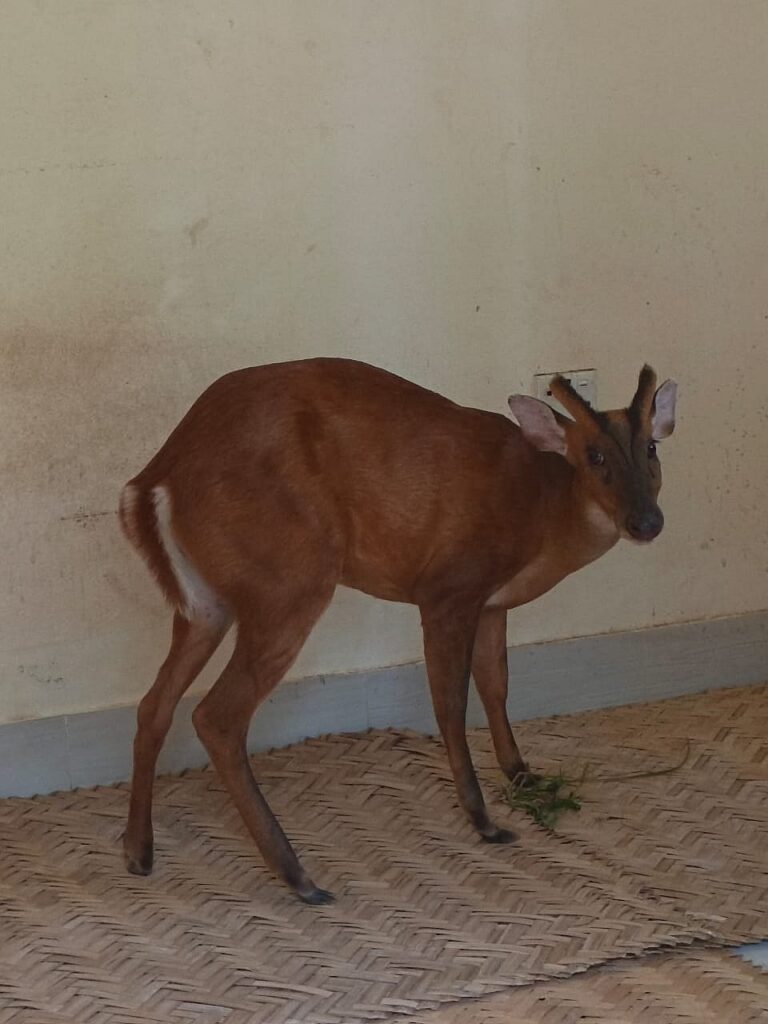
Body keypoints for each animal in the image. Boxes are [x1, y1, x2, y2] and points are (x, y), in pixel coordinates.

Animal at [119, 357, 677, 904]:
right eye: (594, 455)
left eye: (651, 447)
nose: (647, 522)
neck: (542, 513)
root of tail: (151, 483)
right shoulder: (449, 587)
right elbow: (450, 704)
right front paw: (483, 820)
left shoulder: (492, 603)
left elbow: (496, 684)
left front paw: (521, 772)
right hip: (289, 581)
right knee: (216, 715)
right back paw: (300, 878)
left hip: (206, 605)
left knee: (155, 703)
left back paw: (139, 851)